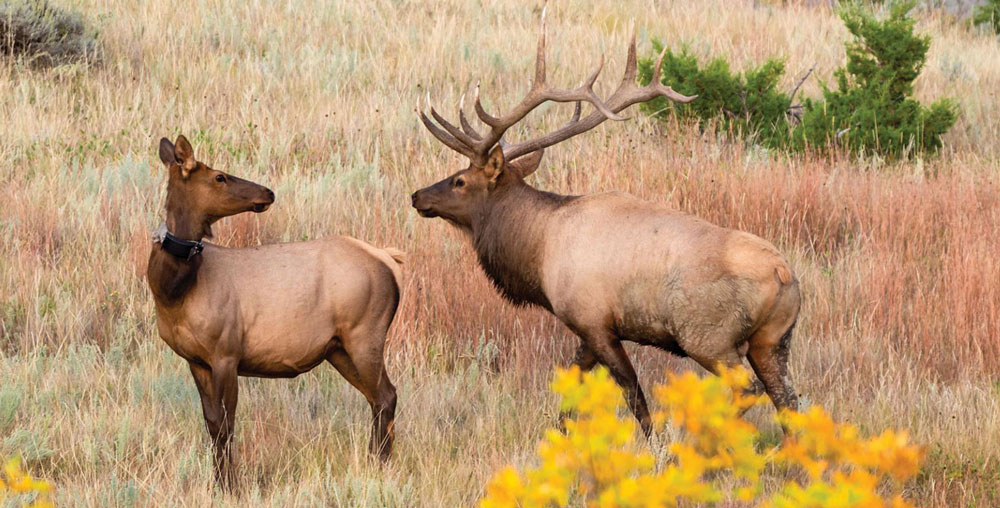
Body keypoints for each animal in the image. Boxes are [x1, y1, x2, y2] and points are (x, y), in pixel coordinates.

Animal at [147, 135, 402, 490]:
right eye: (219, 177)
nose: (267, 192)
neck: (173, 292)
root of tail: (390, 260)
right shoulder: (196, 359)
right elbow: (212, 423)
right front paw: (218, 482)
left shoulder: (227, 351)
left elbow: (226, 424)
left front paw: (231, 486)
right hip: (338, 349)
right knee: (377, 398)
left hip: (366, 333)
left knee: (387, 395)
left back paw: (379, 465)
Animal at [411, 15, 800, 436]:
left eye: (459, 181)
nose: (417, 196)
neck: (538, 252)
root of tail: (783, 274)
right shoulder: (587, 331)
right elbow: (570, 391)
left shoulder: (594, 320)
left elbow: (634, 396)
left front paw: (652, 441)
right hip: (773, 340)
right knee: (788, 400)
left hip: (709, 337)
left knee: (748, 390)